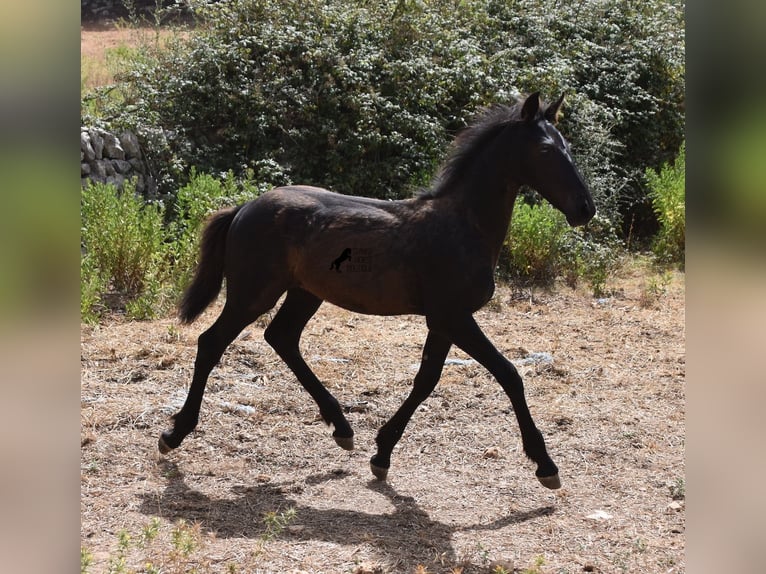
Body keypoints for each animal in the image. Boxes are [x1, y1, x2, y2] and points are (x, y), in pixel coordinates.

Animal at [159, 93, 596, 490]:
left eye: (568, 146)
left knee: (281, 337)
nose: (585, 209)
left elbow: (426, 380)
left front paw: (382, 453)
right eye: (545, 149)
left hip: (304, 292)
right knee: (212, 342)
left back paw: (342, 428)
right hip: (253, 293)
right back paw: (174, 434)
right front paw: (545, 465)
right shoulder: (454, 316)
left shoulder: (442, 321)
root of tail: (243, 208)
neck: (463, 225)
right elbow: (509, 374)